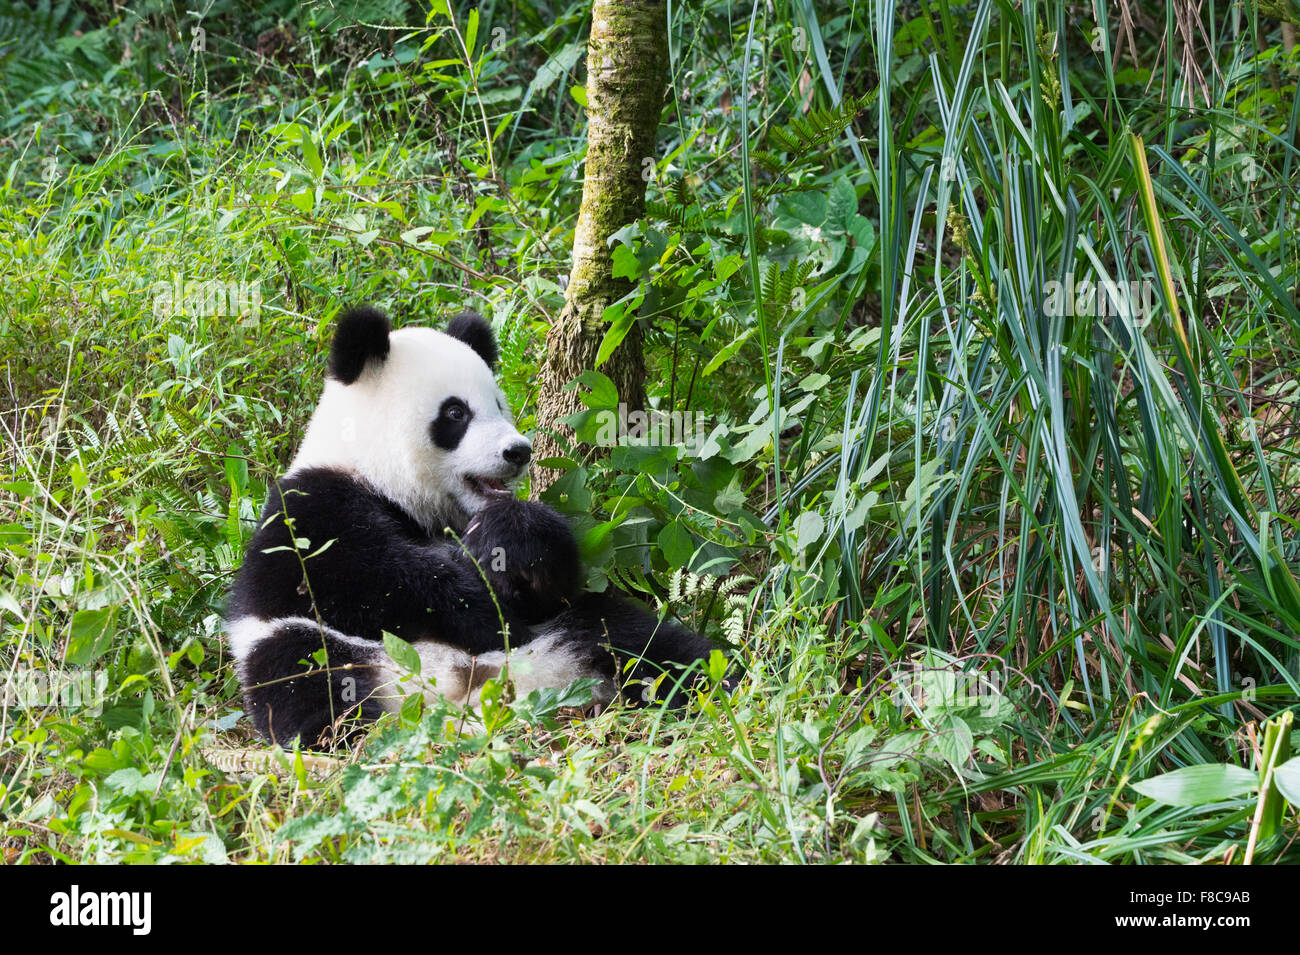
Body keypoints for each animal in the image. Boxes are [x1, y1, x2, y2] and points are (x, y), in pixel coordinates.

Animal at [226, 304, 722, 748]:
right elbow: (355, 579)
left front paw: (511, 539)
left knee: (640, 640)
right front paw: (480, 605)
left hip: (575, 633)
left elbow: (549, 586)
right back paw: (351, 734)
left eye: (499, 404)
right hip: (326, 653)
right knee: (300, 671)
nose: (518, 451)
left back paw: (716, 683)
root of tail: (468, 691)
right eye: (455, 413)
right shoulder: (312, 504)